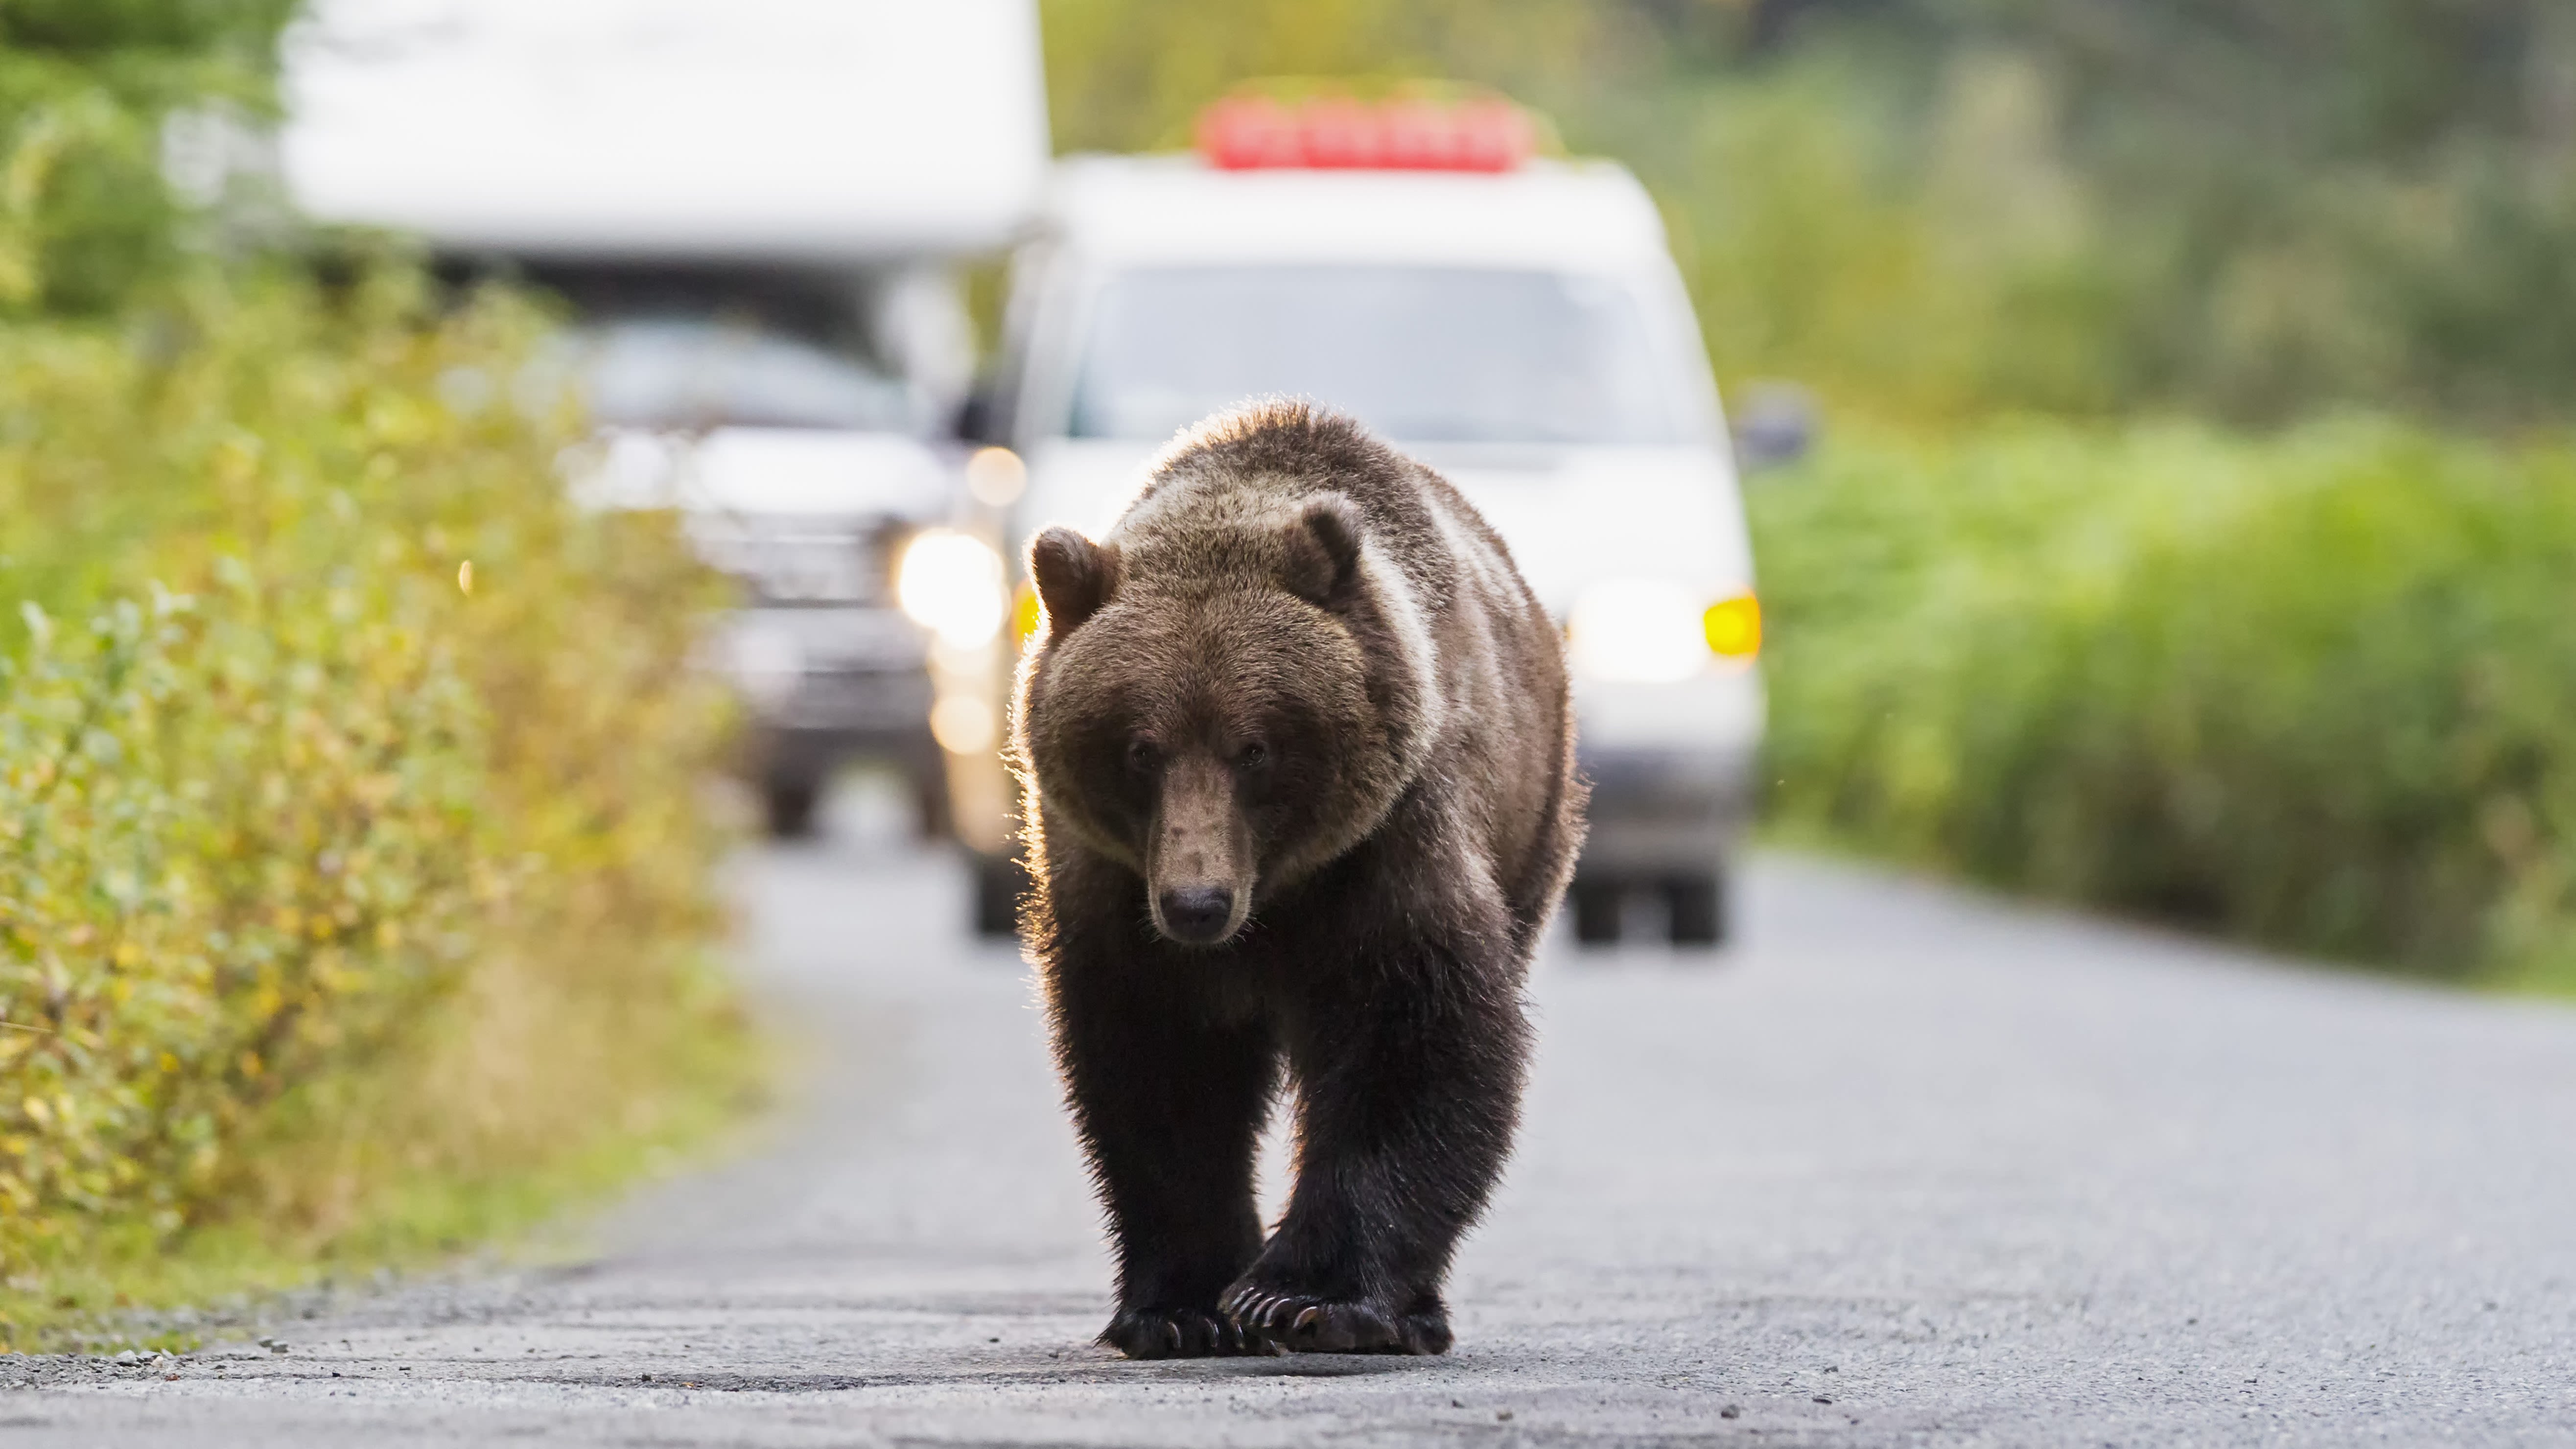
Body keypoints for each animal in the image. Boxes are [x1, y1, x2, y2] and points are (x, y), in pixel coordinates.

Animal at [1009, 398, 1576, 1358]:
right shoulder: (1116, 889)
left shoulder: (1388, 844)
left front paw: (1304, 1296)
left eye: (1255, 748)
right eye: (1139, 749)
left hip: (1534, 824)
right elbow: (1156, 1071)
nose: (1196, 903)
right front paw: (1181, 1307)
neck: (1271, 901)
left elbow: (1414, 1041)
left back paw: (1418, 1314)